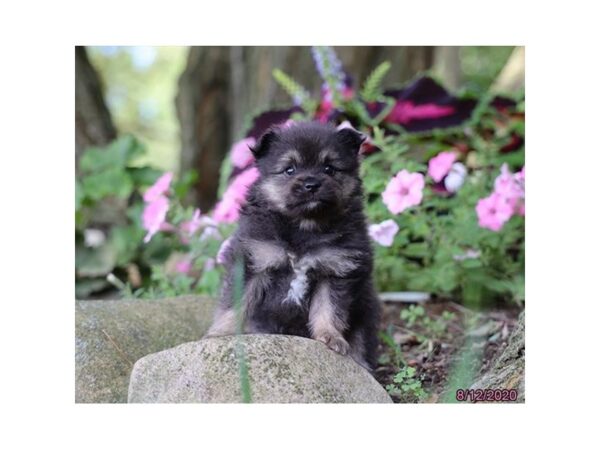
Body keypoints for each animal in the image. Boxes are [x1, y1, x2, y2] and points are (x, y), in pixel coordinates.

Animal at [206, 122, 382, 370]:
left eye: (329, 168)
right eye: (290, 169)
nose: (311, 184)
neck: (303, 226)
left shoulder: (335, 269)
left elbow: (329, 307)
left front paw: (330, 336)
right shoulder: (252, 261)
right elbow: (235, 303)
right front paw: (220, 334)